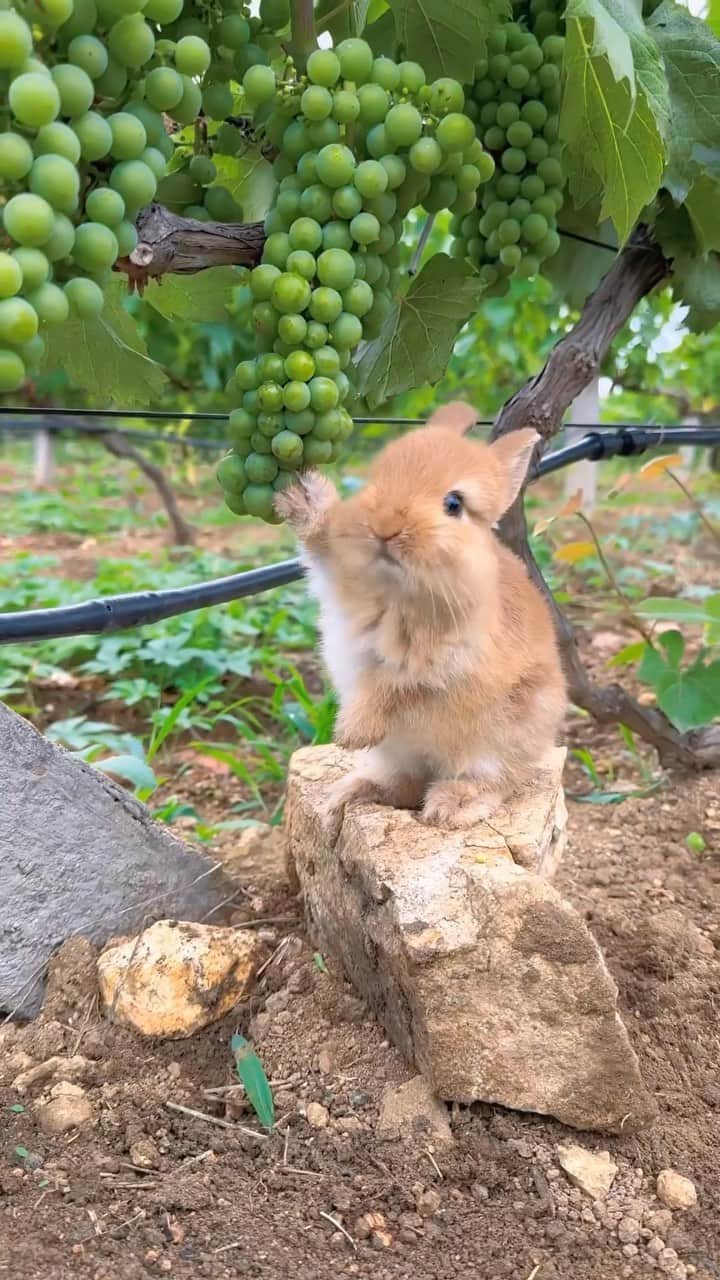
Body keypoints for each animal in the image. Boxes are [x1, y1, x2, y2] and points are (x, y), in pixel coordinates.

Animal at [275, 401, 566, 829]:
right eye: (379, 476)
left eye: (454, 504)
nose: (385, 527)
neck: (394, 589)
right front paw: (300, 493)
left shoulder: (441, 663)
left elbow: (391, 685)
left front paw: (351, 733)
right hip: (400, 754)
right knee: (405, 783)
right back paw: (351, 793)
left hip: (497, 743)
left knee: (491, 781)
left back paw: (448, 808)